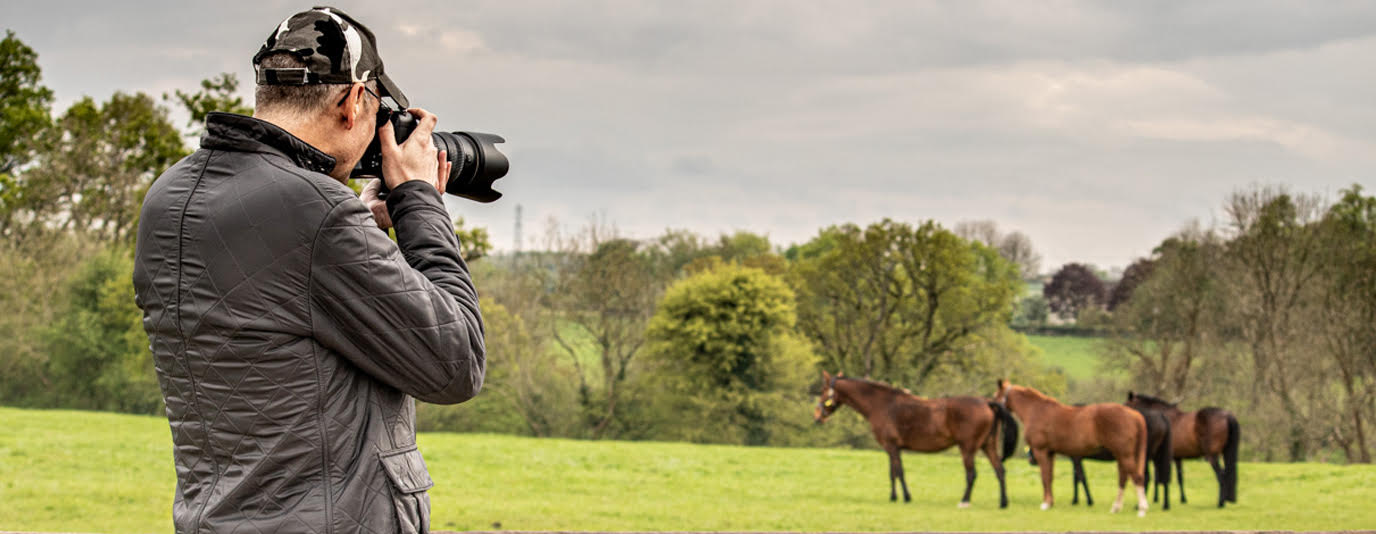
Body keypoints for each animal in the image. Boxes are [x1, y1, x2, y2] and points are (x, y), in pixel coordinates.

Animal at [809, 371, 1018, 509]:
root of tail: (987, 403)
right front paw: (893, 497)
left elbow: (899, 472)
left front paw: (906, 497)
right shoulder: (891, 448)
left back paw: (964, 501)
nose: (817, 416)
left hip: (968, 448)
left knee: (971, 474)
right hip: (988, 446)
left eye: (823, 389)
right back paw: (1003, 502)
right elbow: (892, 473)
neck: (882, 404)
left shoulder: (892, 446)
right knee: (1000, 470)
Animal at [996, 377, 1155, 514]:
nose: (993, 406)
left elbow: (1044, 477)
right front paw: (1050, 502)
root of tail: (1134, 415)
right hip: (1123, 456)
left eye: (996, 395)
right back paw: (1116, 508)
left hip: (1124, 455)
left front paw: (1045, 504)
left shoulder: (1041, 451)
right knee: (1124, 479)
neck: (1036, 410)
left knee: (1137, 478)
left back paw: (1142, 509)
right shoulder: (1051, 453)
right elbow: (1050, 477)